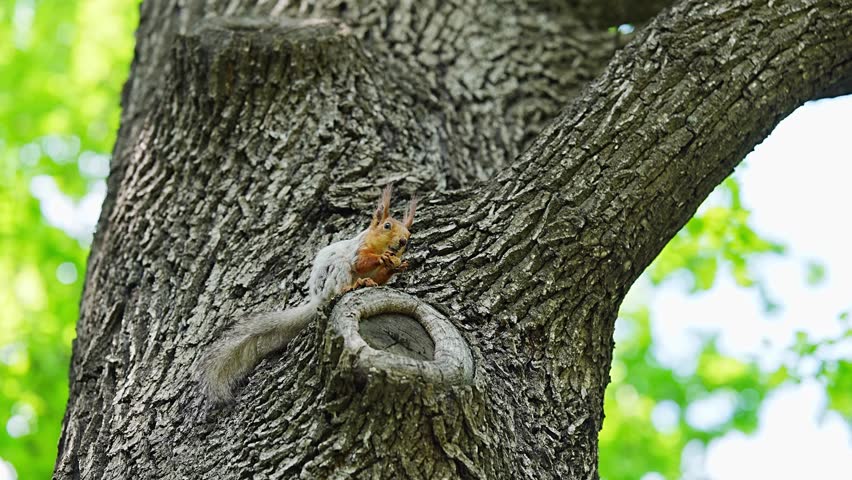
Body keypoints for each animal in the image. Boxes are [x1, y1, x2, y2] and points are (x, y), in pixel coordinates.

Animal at [201, 185, 416, 402]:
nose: (402, 241)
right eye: (387, 226)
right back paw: (356, 284)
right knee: (340, 285)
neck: (377, 245)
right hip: (337, 271)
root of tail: (317, 300)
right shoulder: (357, 250)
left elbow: (381, 277)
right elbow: (361, 262)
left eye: (408, 235)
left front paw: (397, 267)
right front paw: (382, 258)